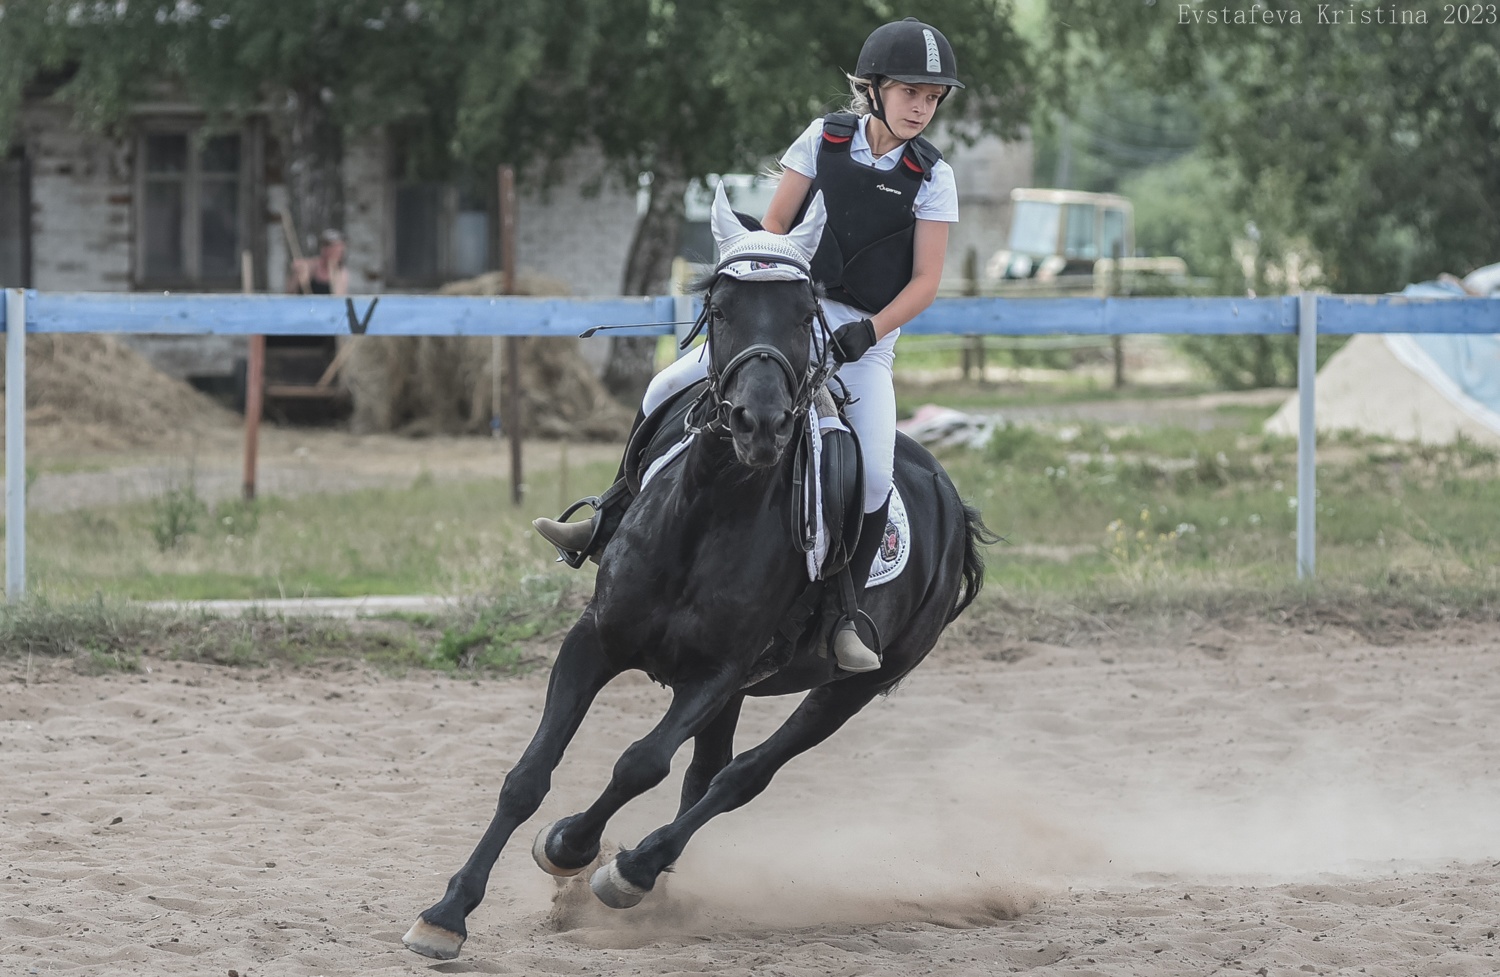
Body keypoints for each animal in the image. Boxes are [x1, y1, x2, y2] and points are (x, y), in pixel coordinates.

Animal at [402, 189, 996, 960]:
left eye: (805, 312)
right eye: (721, 308)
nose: (760, 423)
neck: (709, 511)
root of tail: (949, 496)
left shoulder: (716, 673)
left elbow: (639, 763)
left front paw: (573, 847)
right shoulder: (597, 641)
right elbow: (528, 776)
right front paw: (448, 912)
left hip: (849, 688)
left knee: (742, 776)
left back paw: (633, 869)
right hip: (742, 691)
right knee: (707, 773)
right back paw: (645, 878)